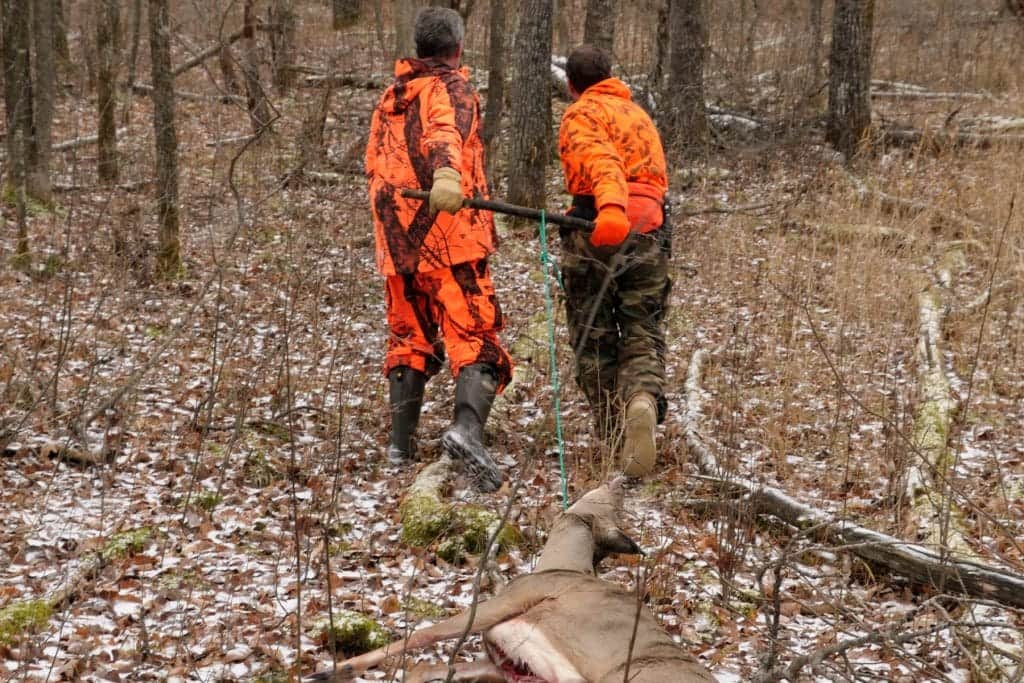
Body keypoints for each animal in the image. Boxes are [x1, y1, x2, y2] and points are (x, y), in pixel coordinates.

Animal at [305, 478, 714, 683]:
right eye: (616, 506)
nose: (622, 482)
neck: (563, 565)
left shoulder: (510, 599)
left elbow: (423, 635)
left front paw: (331, 670)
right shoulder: (503, 664)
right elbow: (424, 669)